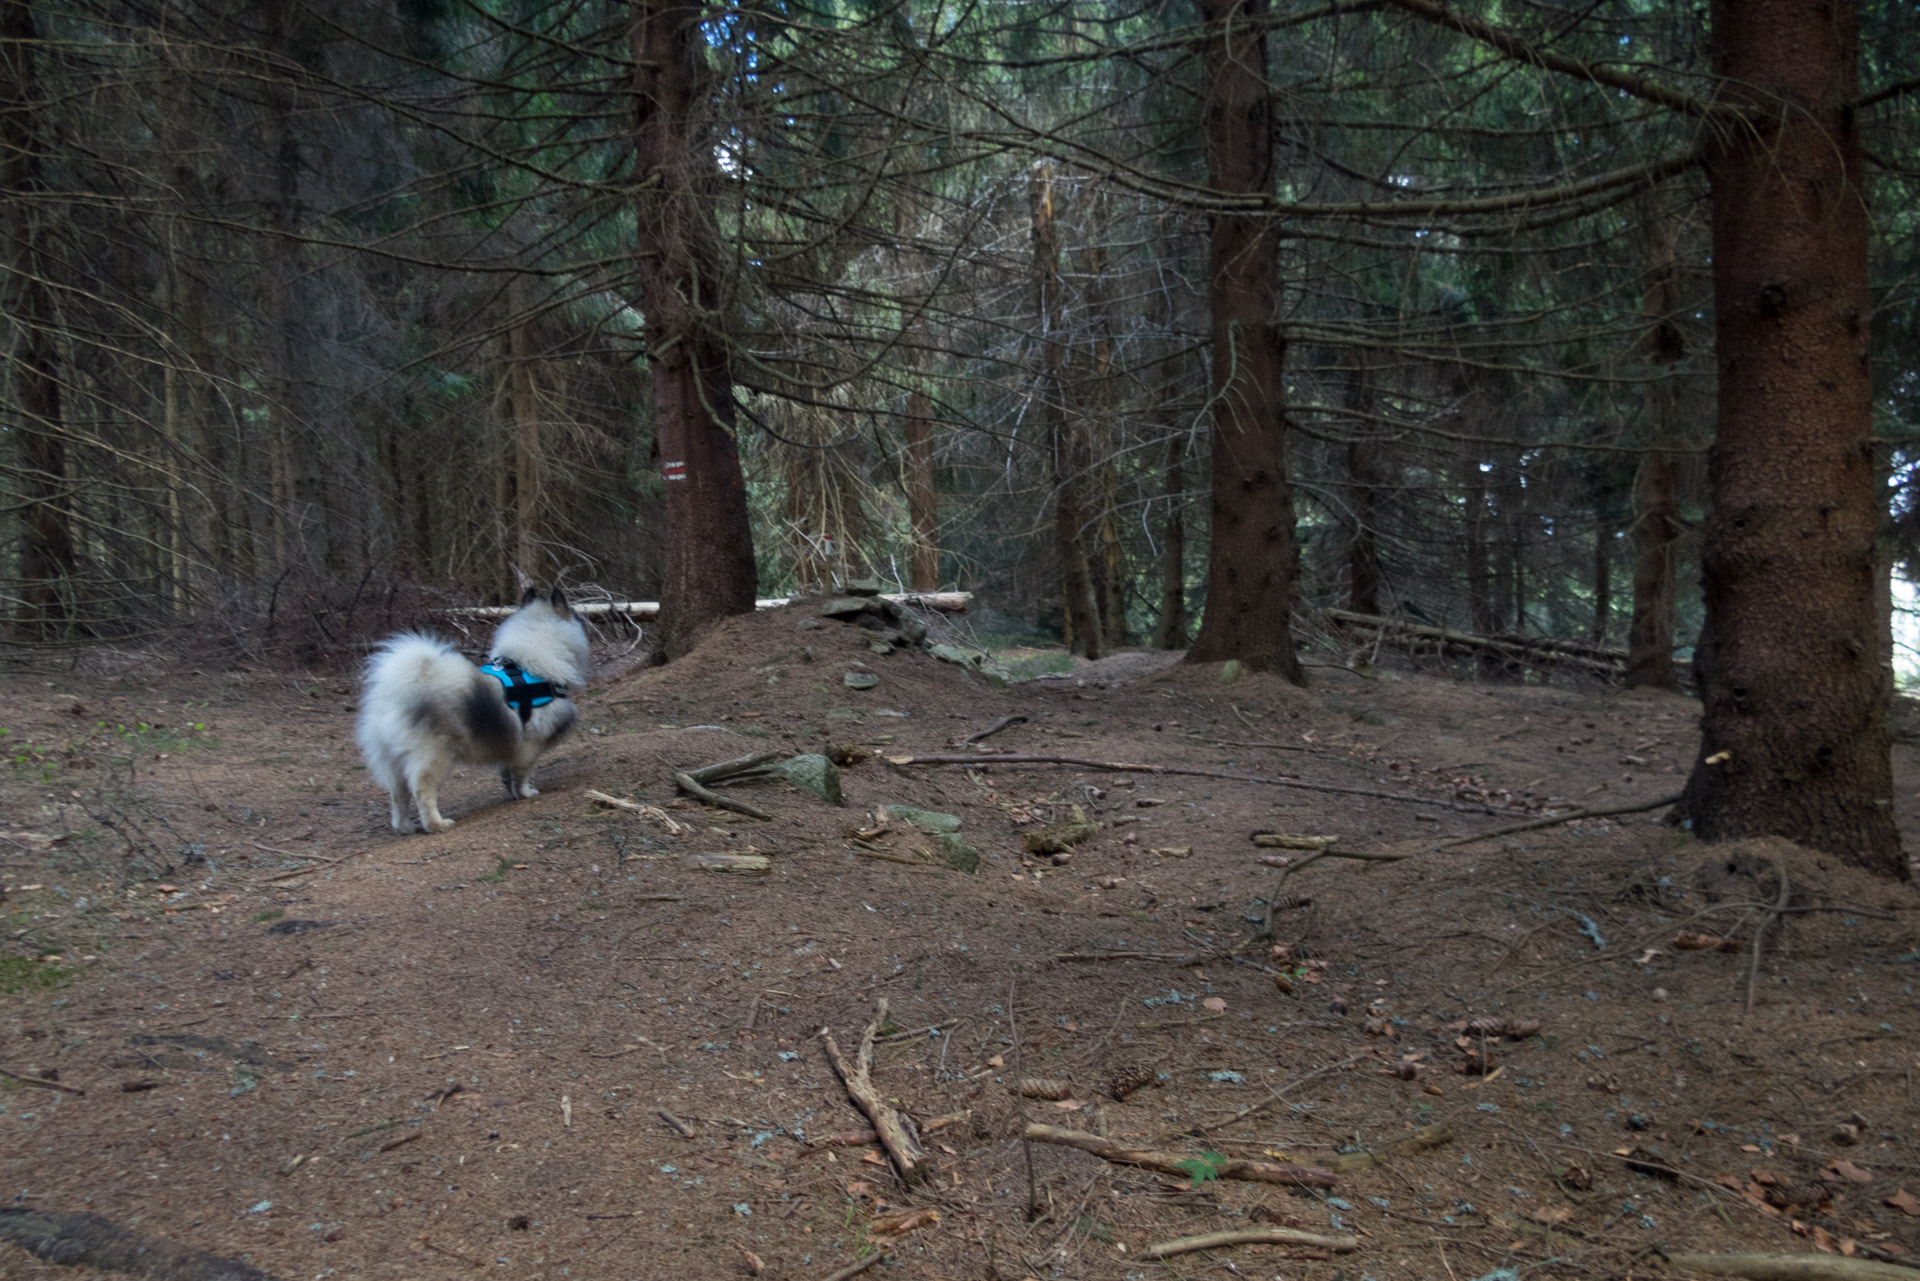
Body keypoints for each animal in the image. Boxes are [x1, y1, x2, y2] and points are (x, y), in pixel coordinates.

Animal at [355, 587, 587, 837]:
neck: (529, 667)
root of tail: (395, 695)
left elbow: (508, 771)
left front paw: (512, 791)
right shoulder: (530, 744)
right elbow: (523, 772)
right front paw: (526, 792)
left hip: (393, 761)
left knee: (398, 794)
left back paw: (404, 827)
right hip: (433, 755)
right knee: (421, 791)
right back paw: (436, 824)